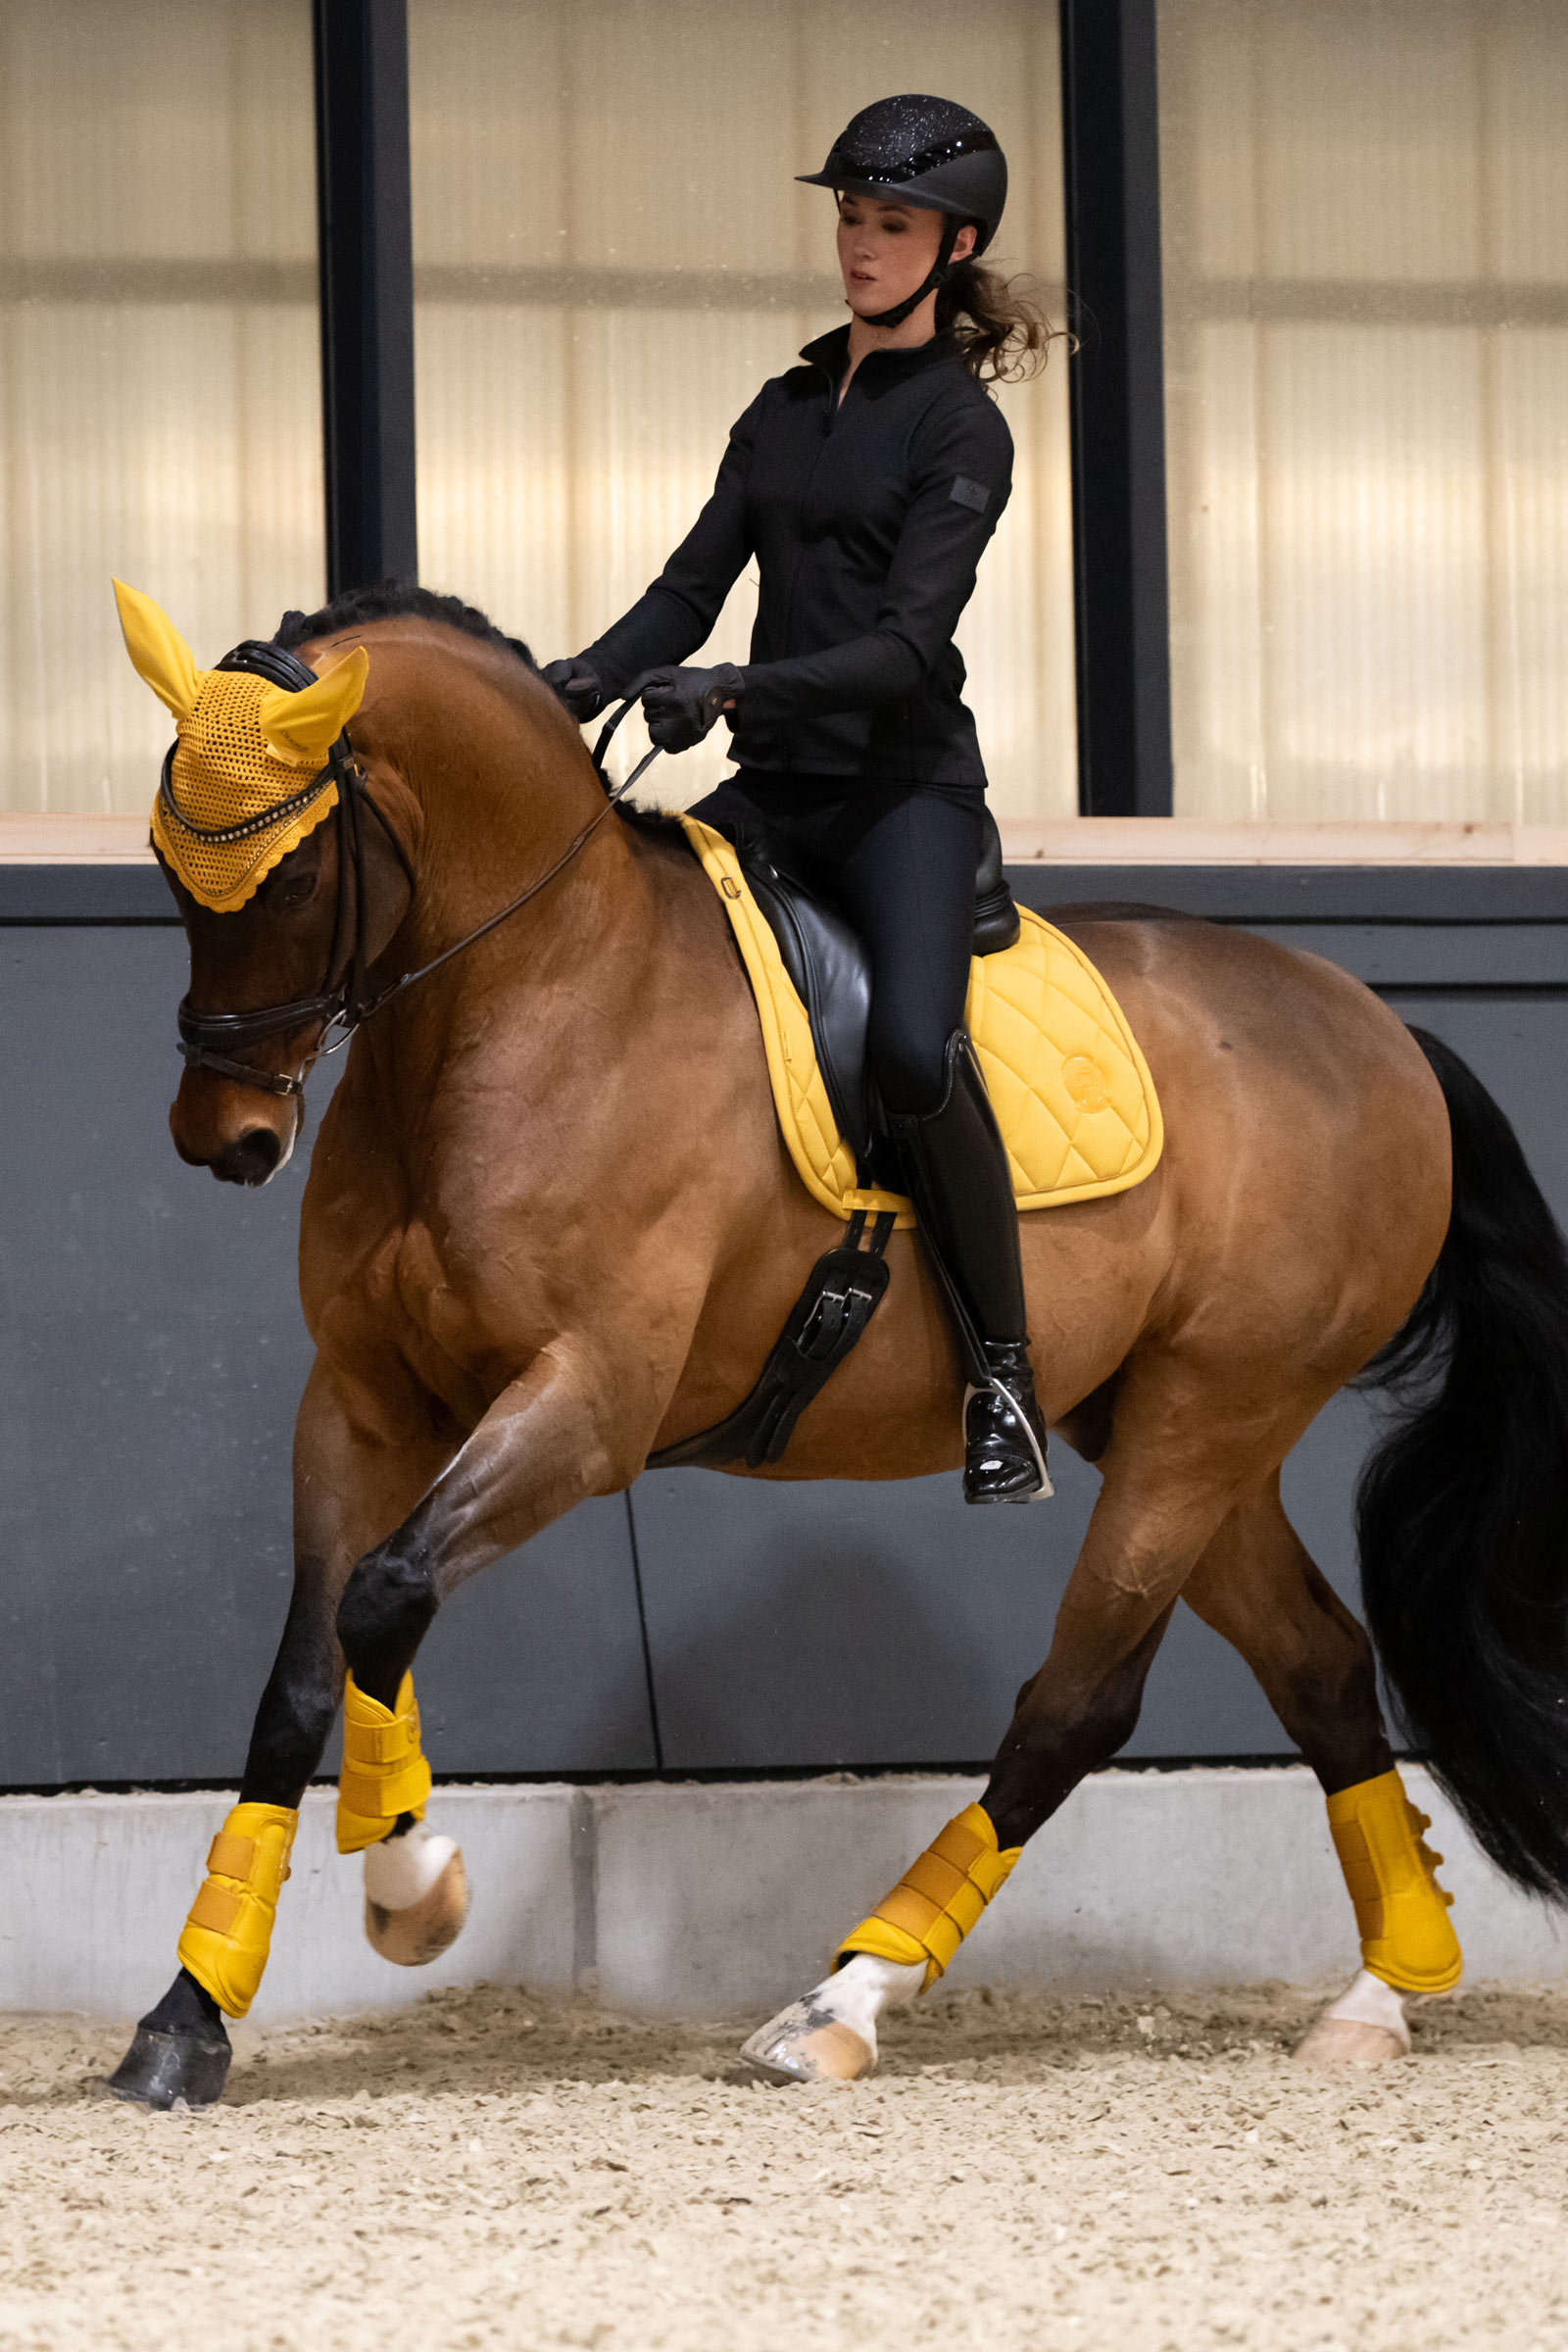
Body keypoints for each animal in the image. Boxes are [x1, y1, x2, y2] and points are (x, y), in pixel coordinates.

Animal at [106, 583, 1568, 2107]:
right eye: (162, 858)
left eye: (286, 881)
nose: (227, 1140)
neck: (528, 997)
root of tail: (1381, 1026)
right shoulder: (362, 1403)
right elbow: (301, 1675)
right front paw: (190, 2017)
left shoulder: (587, 1403)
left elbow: (386, 1597)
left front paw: (413, 1889)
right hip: (1187, 1432)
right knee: (1322, 1670)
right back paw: (1383, 1996)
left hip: (1204, 1425)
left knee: (1077, 1706)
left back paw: (844, 2001)